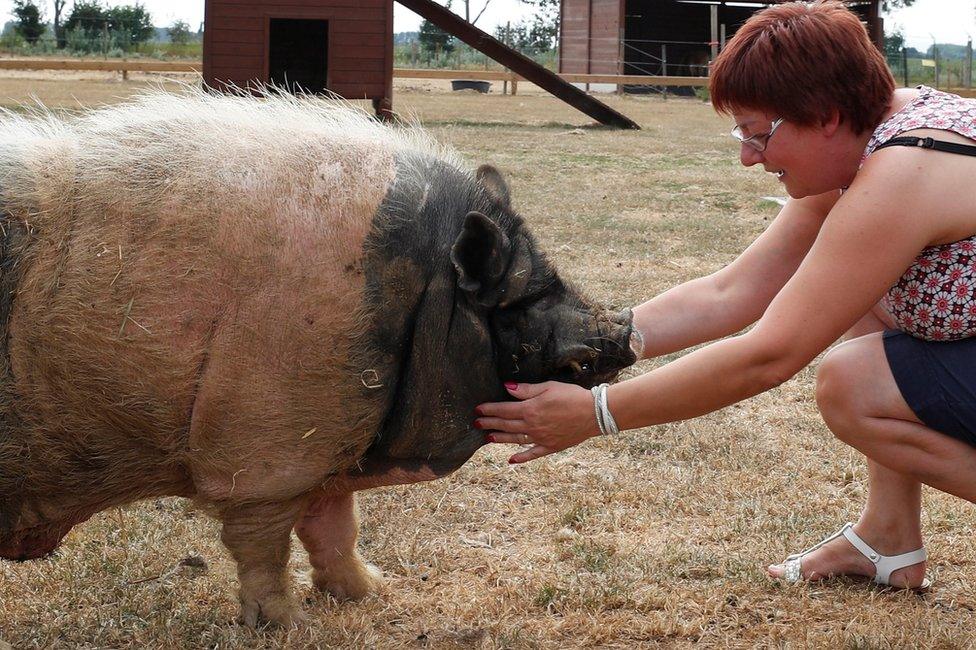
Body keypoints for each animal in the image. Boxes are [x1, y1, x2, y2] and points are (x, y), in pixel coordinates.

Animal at [0, 88, 632, 624]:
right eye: (520, 299)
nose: (621, 326)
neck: (423, 295)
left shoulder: (329, 441)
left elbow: (336, 526)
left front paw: (372, 591)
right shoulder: (267, 455)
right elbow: (262, 545)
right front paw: (288, 624)